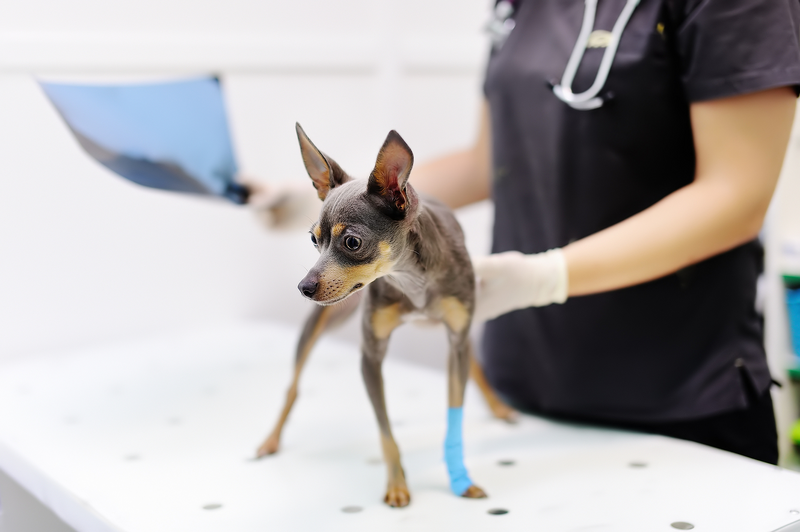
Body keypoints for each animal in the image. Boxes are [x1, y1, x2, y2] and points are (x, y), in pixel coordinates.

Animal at [260, 123, 516, 508]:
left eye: (352, 242)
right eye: (314, 241)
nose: (304, 287)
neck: (410, 279)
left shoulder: (456, 337)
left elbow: (454, 412)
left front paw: (460, 477)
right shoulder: (371, 357)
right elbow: (386, 431)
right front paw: (397, 484)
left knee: (471, 362)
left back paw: (499, 408)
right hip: (321, 324)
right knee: (293, 385)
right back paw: (271, 439)